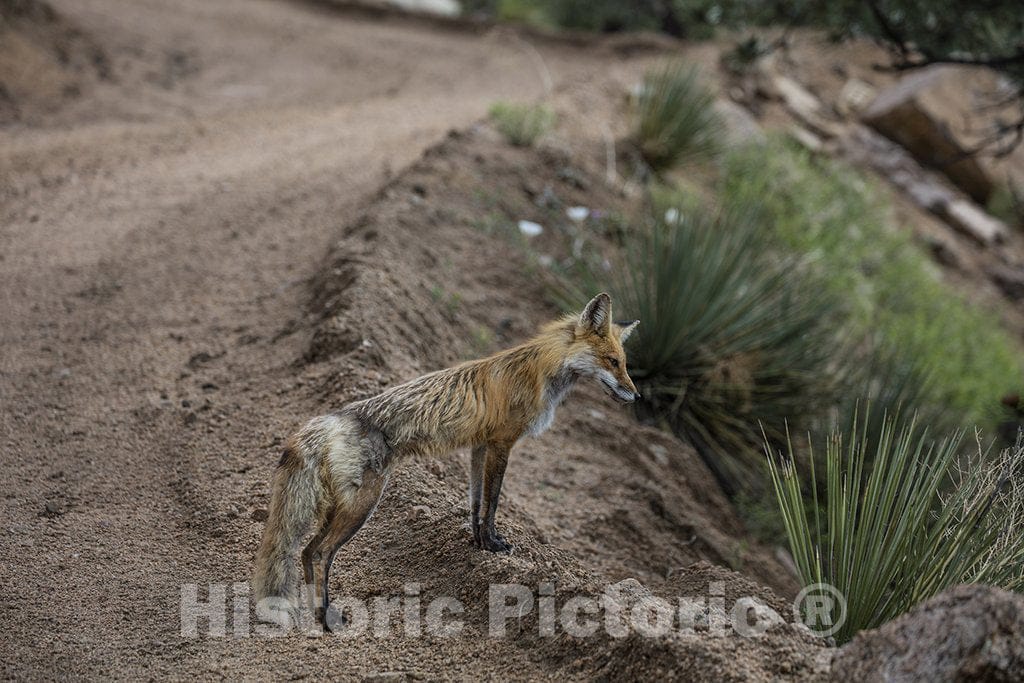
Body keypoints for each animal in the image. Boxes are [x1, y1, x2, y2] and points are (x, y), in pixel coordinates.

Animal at [252, 292, 640, 630]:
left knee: (305, 553)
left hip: (339, 507)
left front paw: (478, 544)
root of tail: (326, 420)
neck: (540, 371)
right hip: (363, 504)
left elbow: (476, 502)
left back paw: (314, 611)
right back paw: (328, 619)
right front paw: (493, 545)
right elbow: (493, 501)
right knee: (319, 554)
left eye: (624, 363)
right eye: (613, 361)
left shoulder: (480, 446)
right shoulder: (502, 443)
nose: (637, 396)